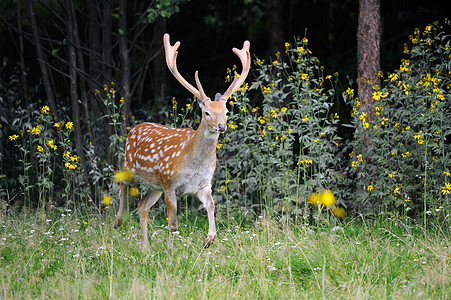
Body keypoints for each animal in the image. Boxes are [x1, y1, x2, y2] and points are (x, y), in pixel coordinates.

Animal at [114, 33, 251, 255]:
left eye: (226, 111)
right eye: (207, 112)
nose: (221, 126)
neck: (193, 164)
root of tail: (135, 128)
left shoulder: (203, 185)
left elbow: (211, 208)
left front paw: (207, 241)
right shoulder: (170, 184)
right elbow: (173, 225)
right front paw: (170, 255)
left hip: (155, 185)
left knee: (142, 206)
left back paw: (146, 249)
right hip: (131, 166)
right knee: (121, 182)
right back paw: (118, 221)